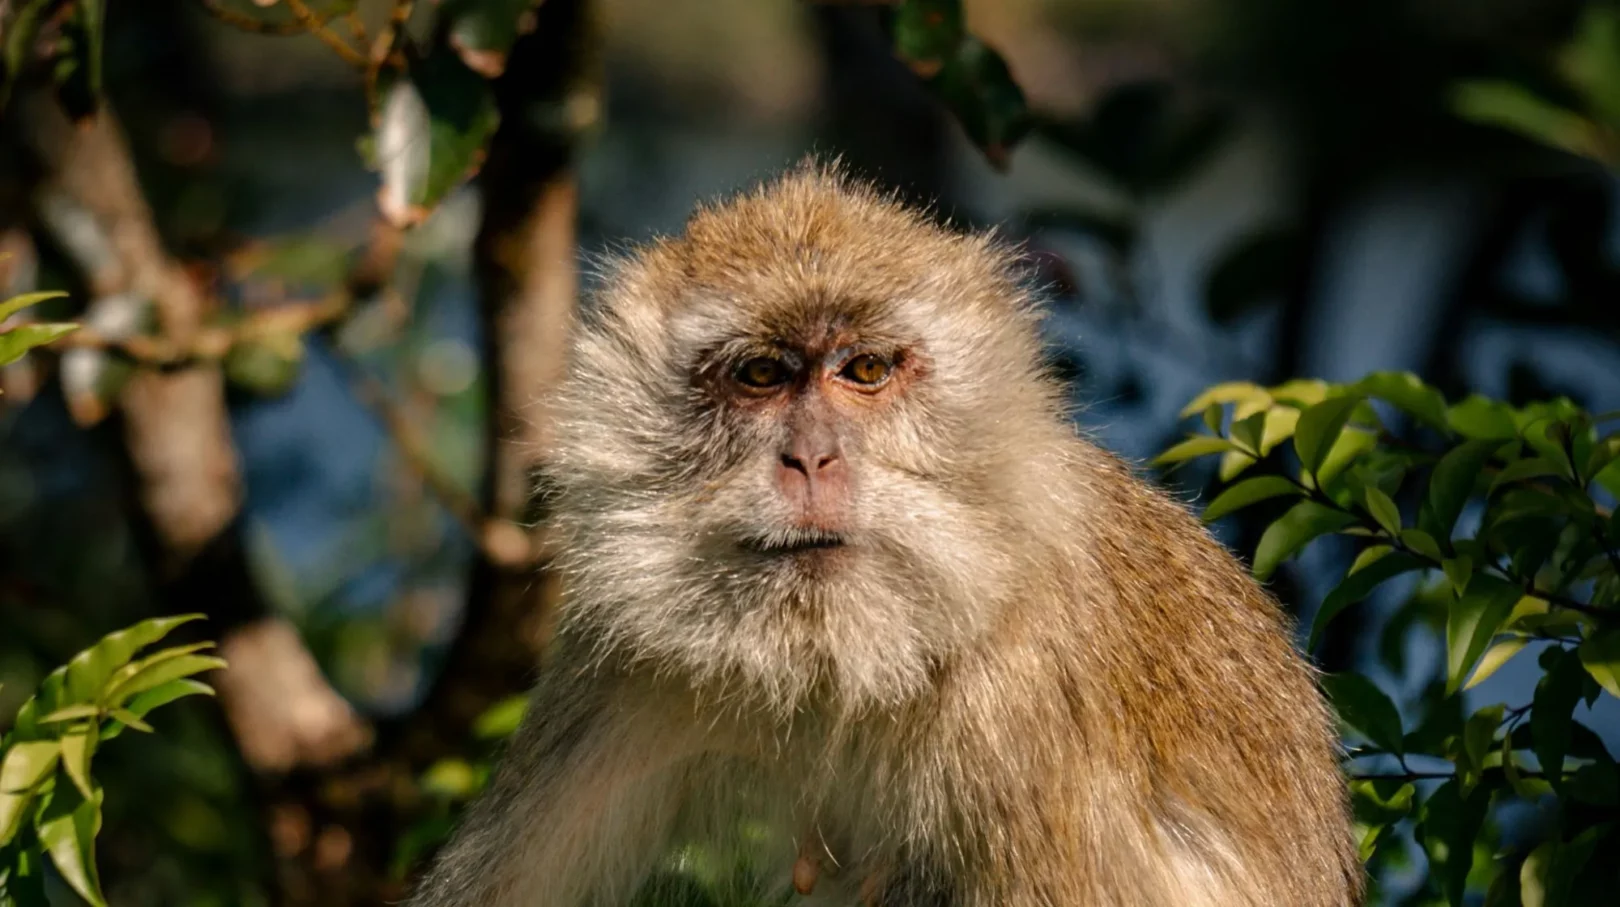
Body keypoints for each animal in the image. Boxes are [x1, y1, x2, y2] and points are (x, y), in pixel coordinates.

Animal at [405, 160, 1364, 907]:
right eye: (762, 375)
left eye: (864, 369)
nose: (811, 458)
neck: (848, 674)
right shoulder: (622, 666)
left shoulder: (1018, 712)